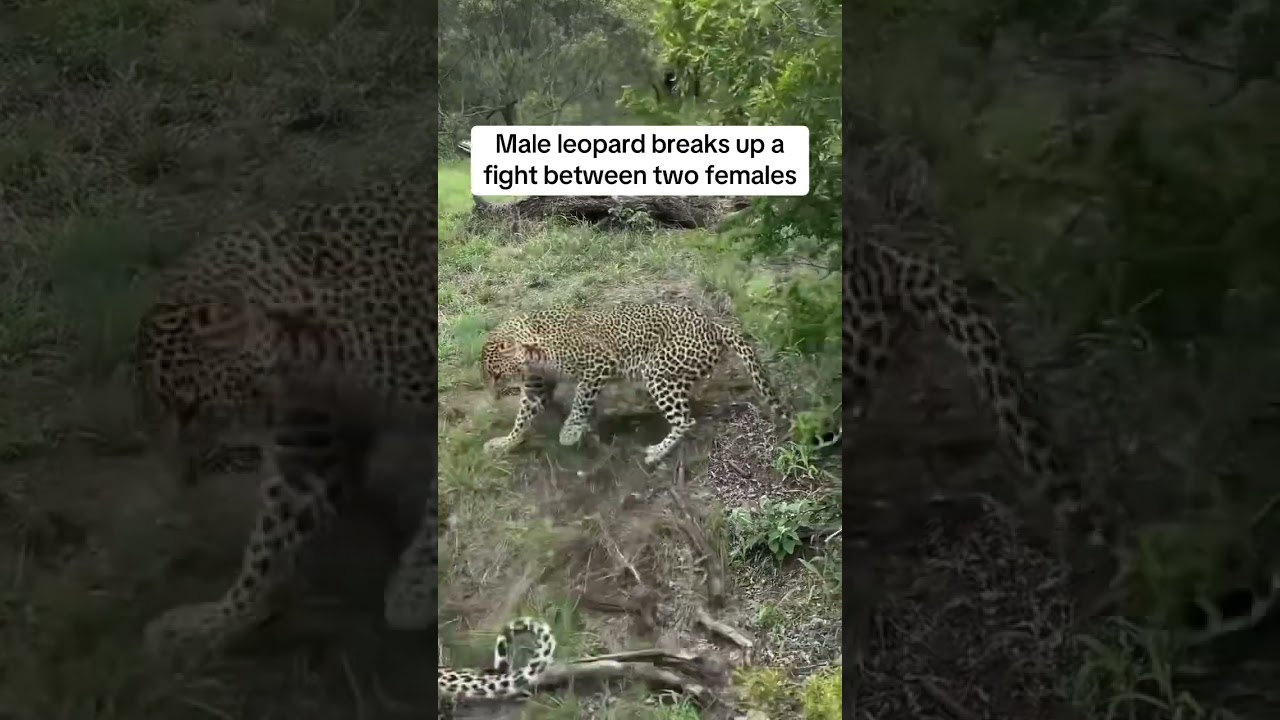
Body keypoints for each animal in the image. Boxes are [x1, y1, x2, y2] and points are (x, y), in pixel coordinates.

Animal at [133, 180, 442, 654]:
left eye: (189, 409)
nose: (179, 485)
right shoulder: (310, 452)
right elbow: (267, 549)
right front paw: (208, 626)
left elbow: (438, 505)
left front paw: (418, 585)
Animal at [479, 302, 787, 467]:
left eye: (496, 375)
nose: (493, 396)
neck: (533, 351)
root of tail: (713, 324)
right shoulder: (536, 388)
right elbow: (522, 418)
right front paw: (506, 442)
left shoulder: (599, 364)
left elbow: (580, 401)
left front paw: (570, 431)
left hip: (657, 372)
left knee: (685, 420)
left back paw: (656, 452)